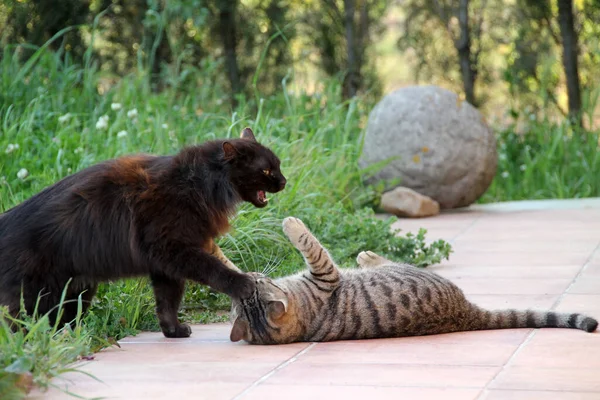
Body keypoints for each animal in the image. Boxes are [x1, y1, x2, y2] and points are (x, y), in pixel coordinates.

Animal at [0, 127, 286, 338]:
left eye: (279, 165)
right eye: (266, 170)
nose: (284, 182)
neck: (197, 183)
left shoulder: (165, 265)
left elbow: (168, 302)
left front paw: (173, 331)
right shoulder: (174, 249)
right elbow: (215, 270)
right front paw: (243, 284)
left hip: (76, 292)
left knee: (61, 321)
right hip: (37, 296)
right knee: (21, 326)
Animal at [229, 217, 596, 342]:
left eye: (257, 281)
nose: (255, 274)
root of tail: (467, 314)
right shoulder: (325, 274)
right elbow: (310, 244)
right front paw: (291, 224)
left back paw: (365, 257)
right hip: (413, 271)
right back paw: (367, 258)